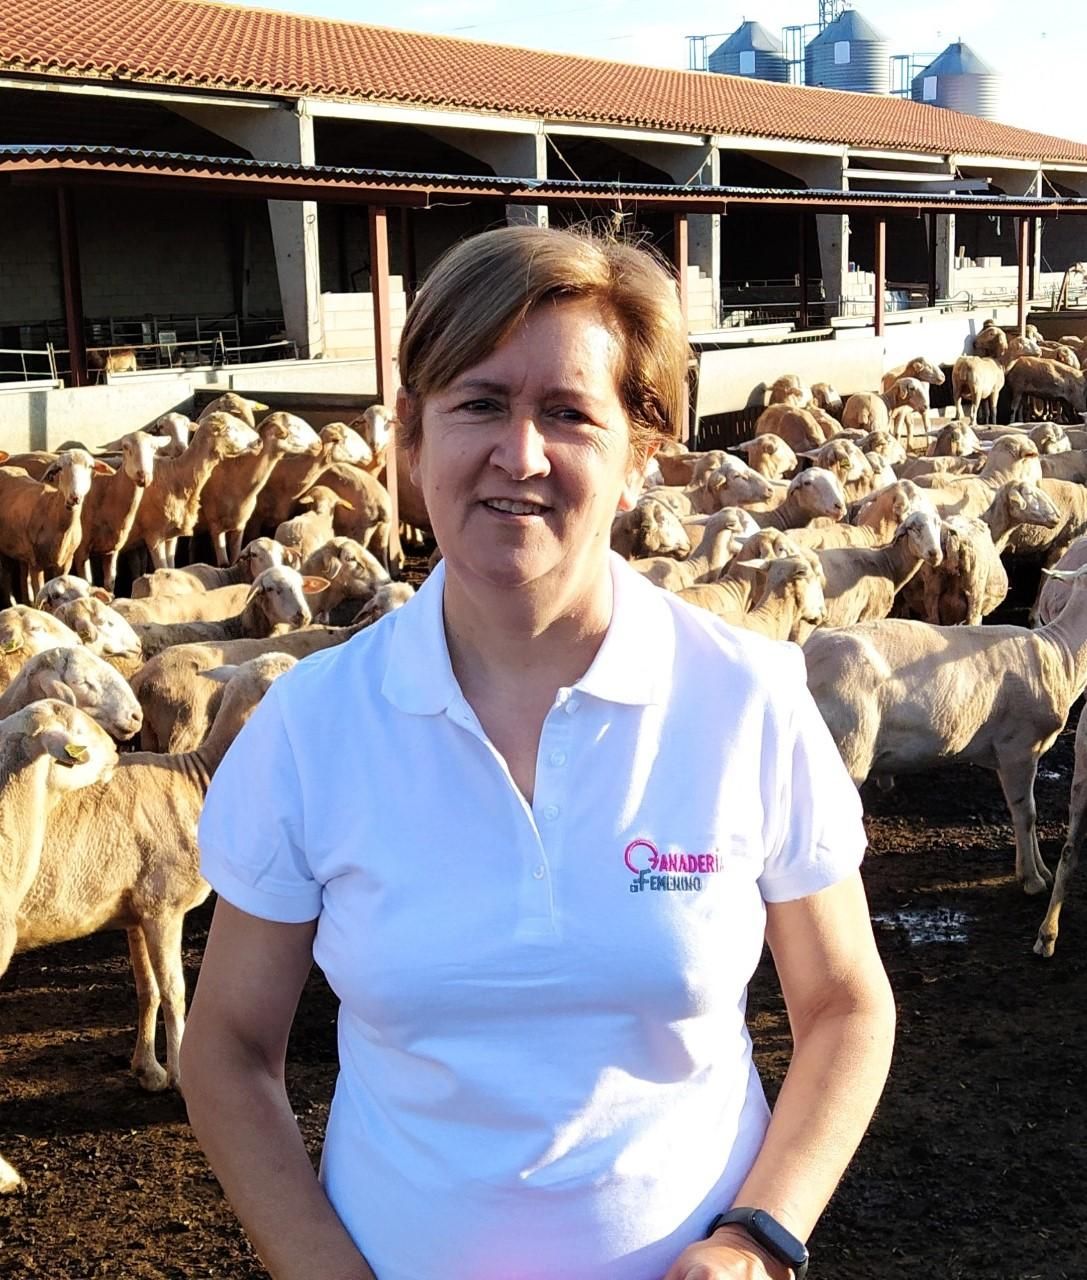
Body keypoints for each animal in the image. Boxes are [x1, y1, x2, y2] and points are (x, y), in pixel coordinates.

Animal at [124, 412, 261, 568]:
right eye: (231, 429)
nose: (259, 440)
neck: (175, 476)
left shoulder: (170, 536)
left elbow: (171, 566)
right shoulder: (153, 535)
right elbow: (161, 567)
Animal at [198, 412, 320, 568]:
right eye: (293, 426)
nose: (319, 443)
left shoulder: (240, 525)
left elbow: (236, 557)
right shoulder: (216, 526)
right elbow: (224, 564)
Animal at [798, 560, 1087, 890]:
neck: (1061, 655)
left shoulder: (1008, 754)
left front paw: (1040, 870)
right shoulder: (1018, 747)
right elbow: (1026, 814)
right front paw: (1032, 880)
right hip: (847, 748)